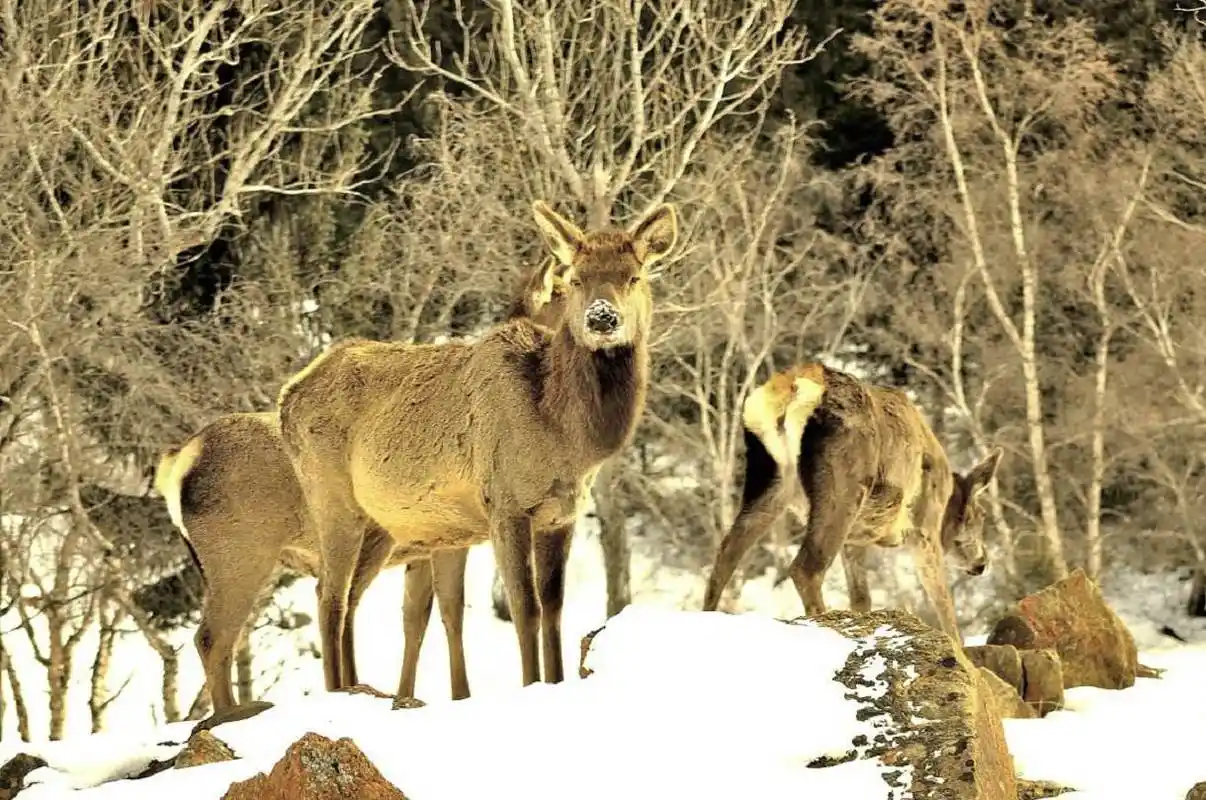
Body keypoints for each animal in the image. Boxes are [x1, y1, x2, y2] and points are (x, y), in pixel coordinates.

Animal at [153, 256, 572, 712]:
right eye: (562, 292)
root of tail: (177, 462)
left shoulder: (427, 545)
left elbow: (422, 619)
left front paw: (417, 694)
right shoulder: (452, 534)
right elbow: (446, 615)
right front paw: (452, 694)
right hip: (241, 552)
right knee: (215, 637)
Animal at [277, 200, 677, 690]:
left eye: (634, 276)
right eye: (578, 278)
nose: (602, 318)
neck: (564, 440)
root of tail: (287, 396)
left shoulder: (560, 514)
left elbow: (554, 610)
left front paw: (556, 680)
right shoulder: (504, 501)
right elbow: (526, 608)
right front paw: (530, 684)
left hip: (381, 526)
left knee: (350, 597)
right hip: (332, 500)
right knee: (328, 597)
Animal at [701, 363, 1002, 642]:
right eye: (981, 515)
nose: (983, 562)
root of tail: (791, 390)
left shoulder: (855, 541)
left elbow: (861, 598)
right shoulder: (924, 529)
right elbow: (944, 604)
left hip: (770, 481)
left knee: (725, 555)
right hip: (844, 481)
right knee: (805, 568)